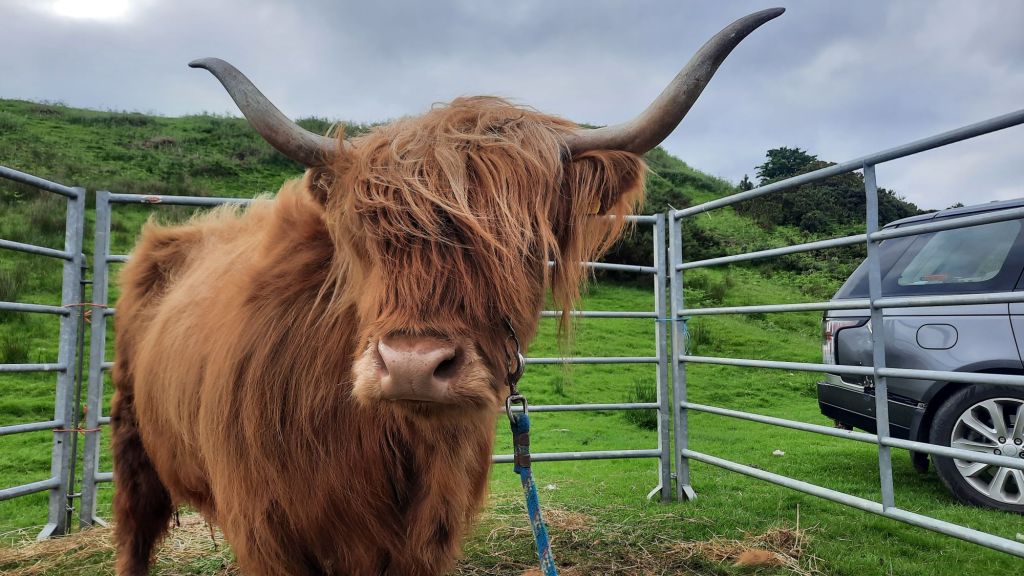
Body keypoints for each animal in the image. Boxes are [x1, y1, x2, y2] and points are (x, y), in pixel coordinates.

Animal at [110, 9, 783, 576]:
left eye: (522, 240)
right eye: (366, 238)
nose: (412, 367)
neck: (384, 447)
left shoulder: (425, 539)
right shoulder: (268, 534)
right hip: (131, 439)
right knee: (135, 532)